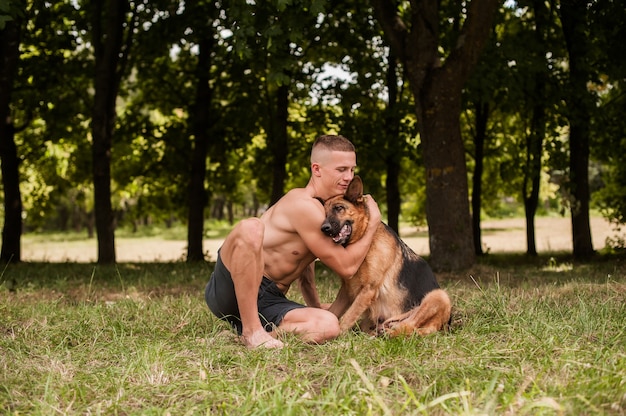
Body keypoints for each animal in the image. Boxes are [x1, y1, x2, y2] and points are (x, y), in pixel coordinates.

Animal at [322, 177, 448, 336]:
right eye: (324, 212)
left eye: (339, 208)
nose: (324, 228)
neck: (365, 241)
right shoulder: (346, 291)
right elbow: (332, 312)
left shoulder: (368, 290)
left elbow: (346, 318)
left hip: (438, 296)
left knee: (408, 327)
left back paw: (389, 334)